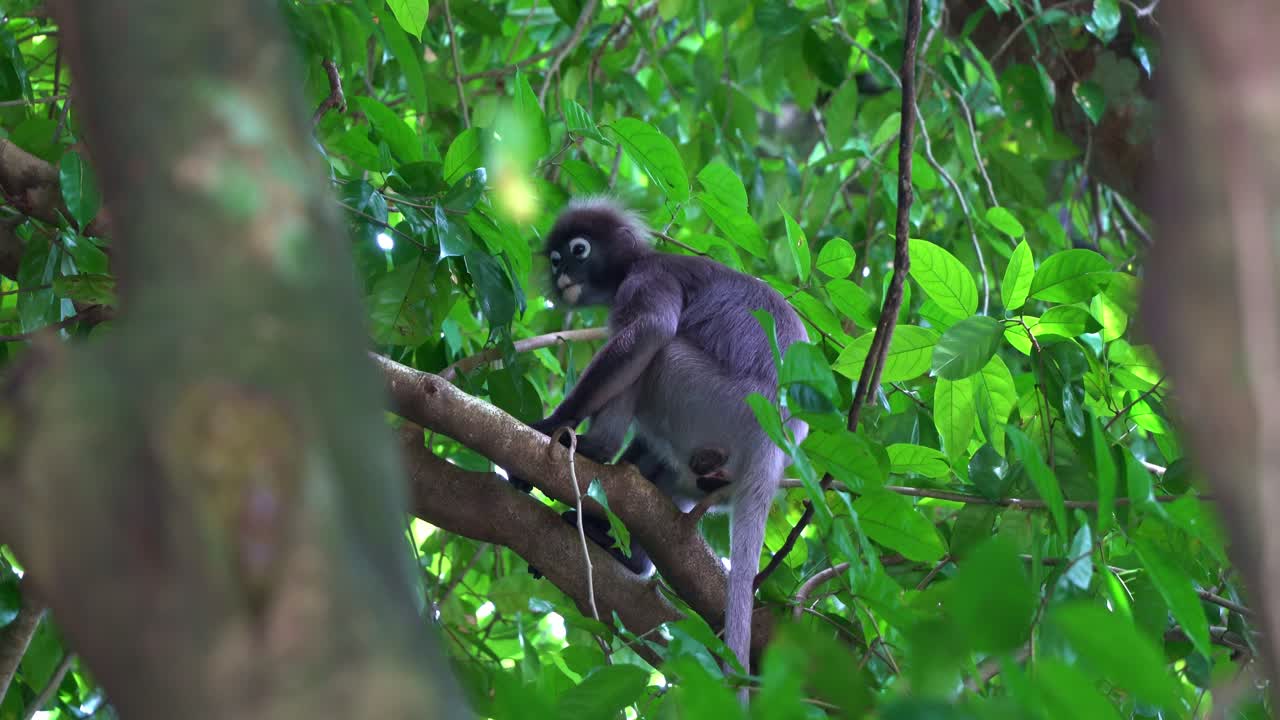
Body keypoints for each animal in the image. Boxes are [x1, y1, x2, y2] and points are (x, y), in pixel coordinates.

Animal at [511, 197, 809, 683]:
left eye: (578, 250)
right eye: (555, 260)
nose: (563, 274)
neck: (636, 263)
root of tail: (774, 442)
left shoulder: (650, 277)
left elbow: (649, 330)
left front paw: (552, 424)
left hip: (709, 398)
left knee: (658, 351)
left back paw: (596, 451)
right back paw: (628, 549)